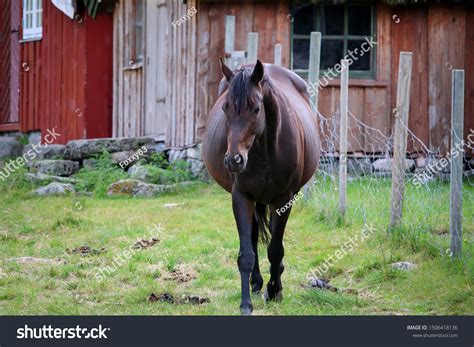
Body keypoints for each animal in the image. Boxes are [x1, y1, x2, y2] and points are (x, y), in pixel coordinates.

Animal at [202, 58, 320, 314]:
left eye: (256, 108)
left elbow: (275, 250)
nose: (234, 160)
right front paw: (246, 303)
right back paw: (256, 283)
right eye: (225, 108)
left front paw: (275, 291)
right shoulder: (241, 197)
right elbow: (246, 253)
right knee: (254, 235)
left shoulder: (284, 199)